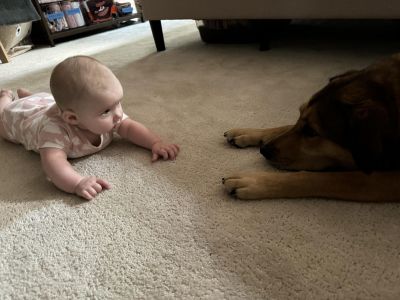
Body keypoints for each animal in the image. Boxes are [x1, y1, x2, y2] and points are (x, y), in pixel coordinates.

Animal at [222, 53, 400, 202]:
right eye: (299, 112)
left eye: (311, 132)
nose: (263, 150)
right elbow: (286, 126)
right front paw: (247, 133)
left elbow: (336, 179)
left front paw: (255, 181)